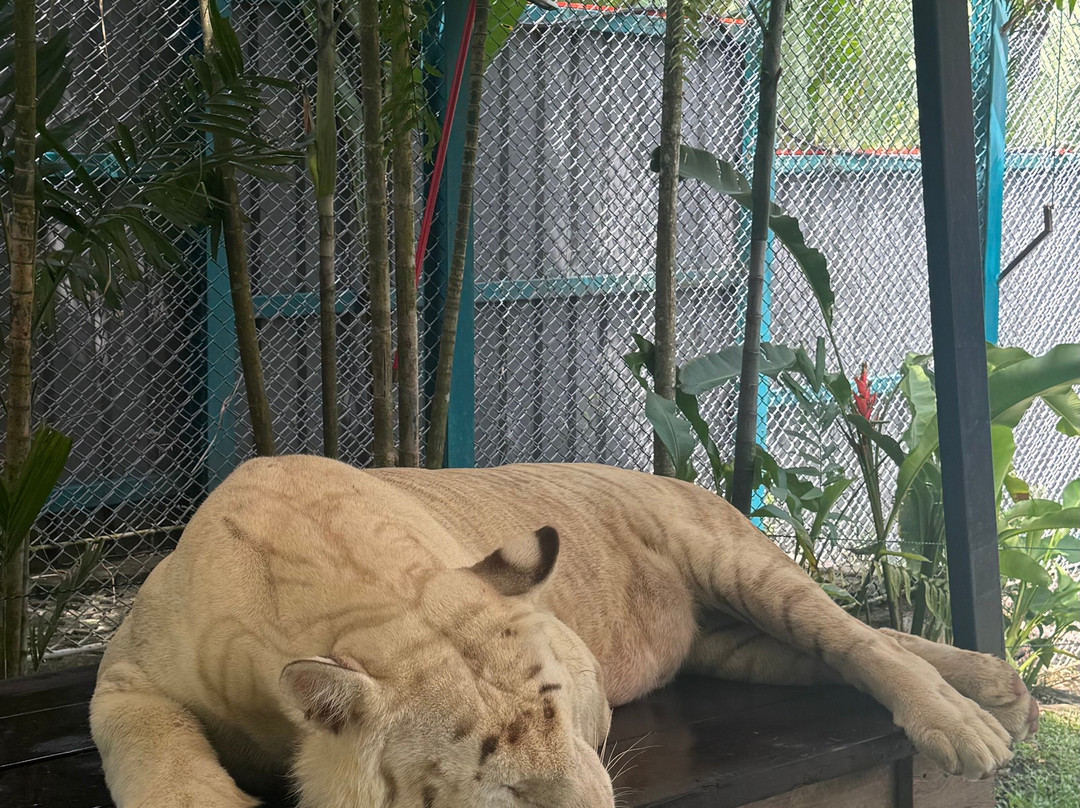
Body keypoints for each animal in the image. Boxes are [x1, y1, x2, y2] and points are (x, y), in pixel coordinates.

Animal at [89, 455, 1039, 808]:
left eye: (562, 713)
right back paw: (1004, 693)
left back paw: (972, 722)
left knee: (859, 638)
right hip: (740, 645)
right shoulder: (126, 679)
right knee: (839, 652)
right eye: (498, 787)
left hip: (742, 565)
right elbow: (156, 754)